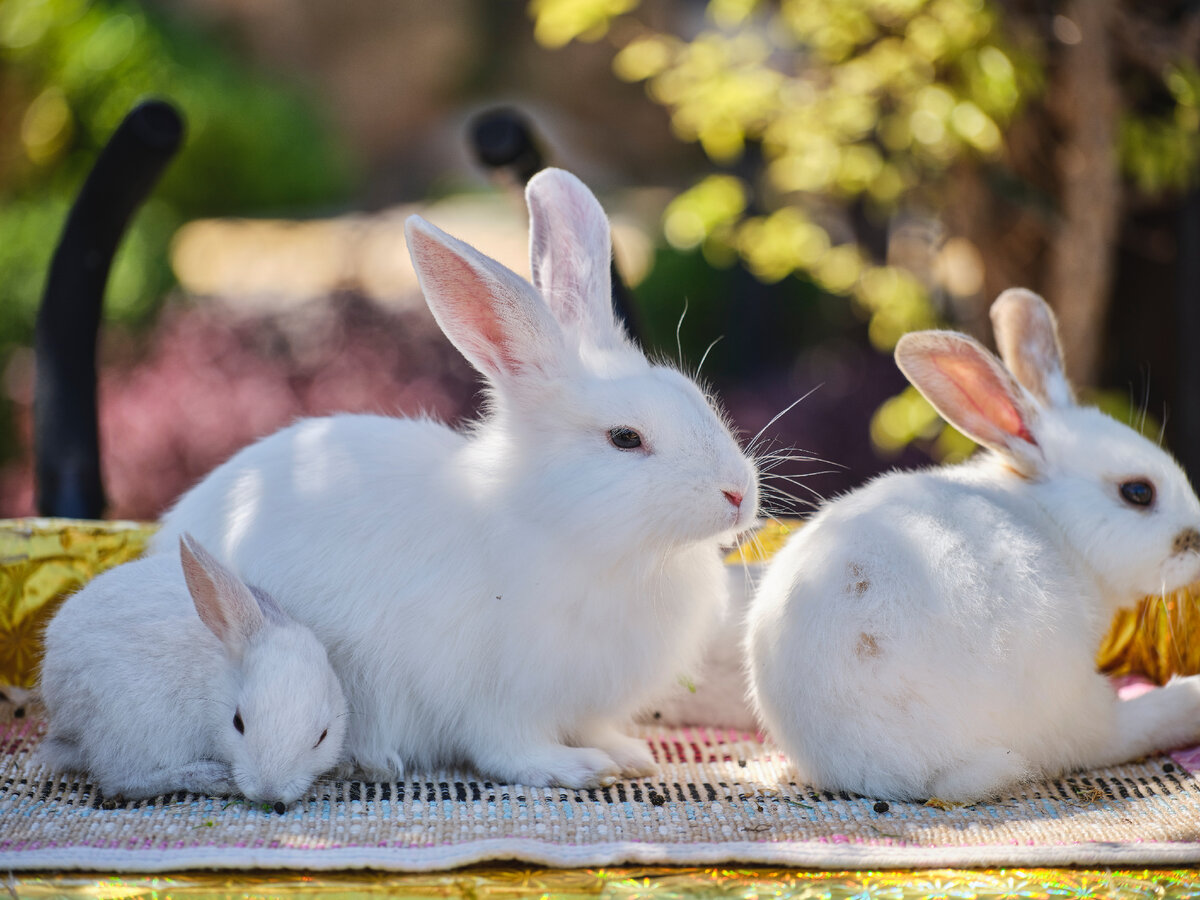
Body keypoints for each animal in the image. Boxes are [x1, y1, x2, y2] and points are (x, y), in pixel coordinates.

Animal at [38, 535, 348, 811]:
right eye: (237, 723)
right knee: (122, 782)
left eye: (323, 736)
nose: (268, 793)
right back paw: (215, 777)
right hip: (134, 726)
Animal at [152, 169, 758, 787]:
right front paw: (576, 768)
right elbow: (508, 748)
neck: (562, 530)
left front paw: (628, 756)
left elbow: (593, 727)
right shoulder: (494, 694)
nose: (739, 493)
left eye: (694, 396)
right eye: (625, 438)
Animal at [744, 289, 1200, 801]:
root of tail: (887, 767)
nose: (1197, 539)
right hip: (1065, 692)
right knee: (1113, 733)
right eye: (1138, 492)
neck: (1054, 519)